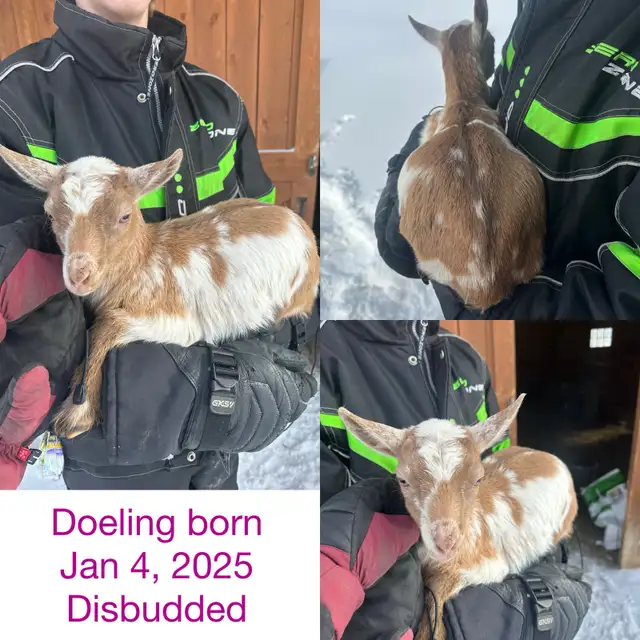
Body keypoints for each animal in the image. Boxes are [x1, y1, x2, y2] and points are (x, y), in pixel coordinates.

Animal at [0, 146, 320, 438]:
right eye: (51, 215)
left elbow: (109, 323)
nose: (79, 275)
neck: (145, 261)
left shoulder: (179, 319)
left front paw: (78, 412)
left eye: (124, 216)